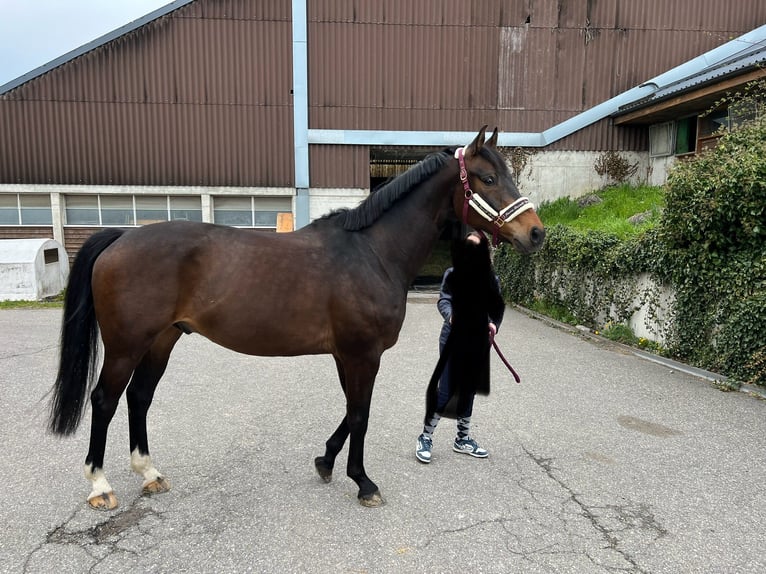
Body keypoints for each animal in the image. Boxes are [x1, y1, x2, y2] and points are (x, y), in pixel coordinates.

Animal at [48, 126, 544, 508]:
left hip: (162, 340)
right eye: (486, 178)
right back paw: (100, 485)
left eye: (509, 174)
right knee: (105, 401)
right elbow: (360, 413)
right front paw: (363, 482)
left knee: (139, 398)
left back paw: (149, 473)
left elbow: (350, 409)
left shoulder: (347, 355)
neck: (372, 253)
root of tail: (119, 237)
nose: (536, 233)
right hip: (126, 345)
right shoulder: (363, 354)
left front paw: (326, 461)